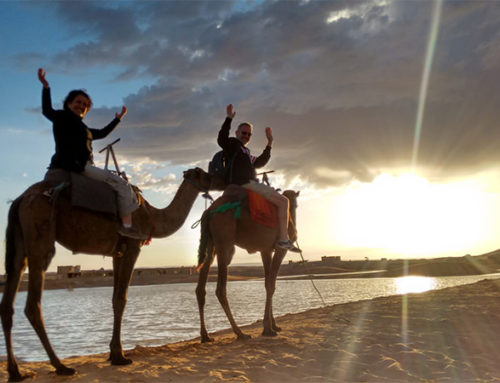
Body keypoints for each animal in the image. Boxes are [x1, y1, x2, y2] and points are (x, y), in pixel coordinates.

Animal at [0, 167, 211, 380]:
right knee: (33, 302)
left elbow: (115, 299)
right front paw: (119, 356)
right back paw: (61, 366)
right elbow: (121, 299)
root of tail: (20, 199)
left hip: (20, 242)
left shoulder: (117, 253)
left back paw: (16, 371)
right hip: (40, 231)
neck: (152, 216)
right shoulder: (132, 246)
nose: (213, 180)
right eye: (203, 174)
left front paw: (114, 353)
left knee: (10, 293)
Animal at [194, 189, 296, 342]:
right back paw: (240, 333)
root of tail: (208, 211)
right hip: (225, 242)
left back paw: (206, 336)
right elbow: (271, 285)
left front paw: (273, 325)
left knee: (201, 287)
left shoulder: (265, 250)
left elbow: (268, 284)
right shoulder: (279, 249)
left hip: (210, 244)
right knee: (220, 289)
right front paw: (268, 329)